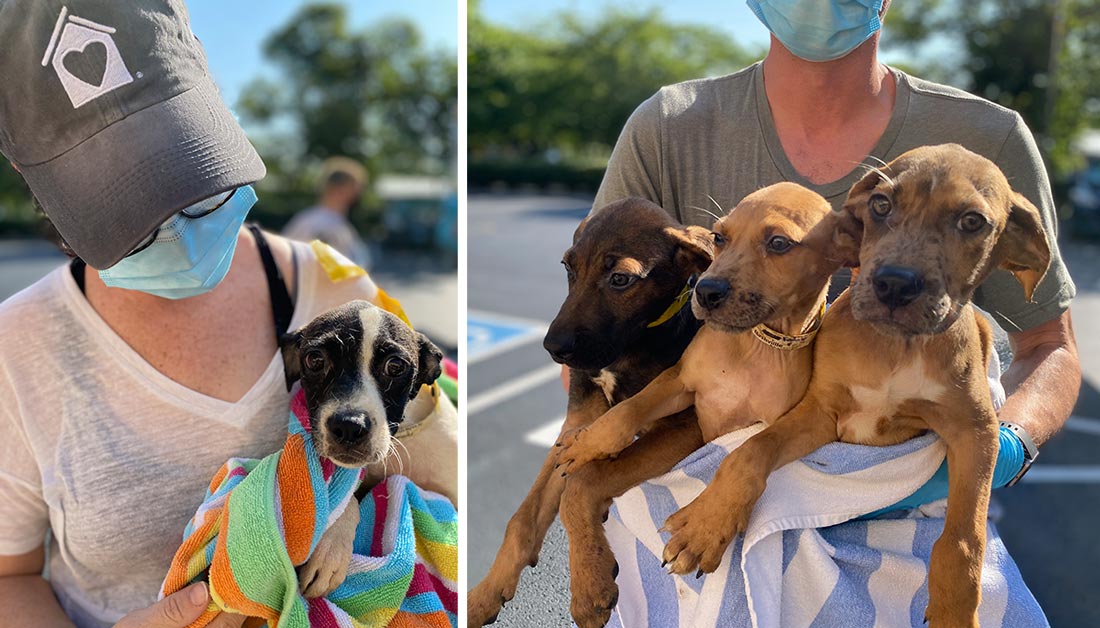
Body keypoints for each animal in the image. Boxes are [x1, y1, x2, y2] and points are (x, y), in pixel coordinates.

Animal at [466, 197, 712, 628]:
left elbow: (582, 484)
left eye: (620, 279)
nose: (553, 348)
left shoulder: (685, 426)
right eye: (568, 267)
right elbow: (523, 517)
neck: (630, 348)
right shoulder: (575, 429)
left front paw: (588, 583)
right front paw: (483, 595)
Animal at [646, 144, 1051, 628]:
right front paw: (707, 526)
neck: (895, 346)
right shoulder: (820, 414)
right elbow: (750, 451)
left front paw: (954, 608)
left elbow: (964, 535)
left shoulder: (975, 432)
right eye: (881, 205)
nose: (894, 283)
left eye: (972, 221)